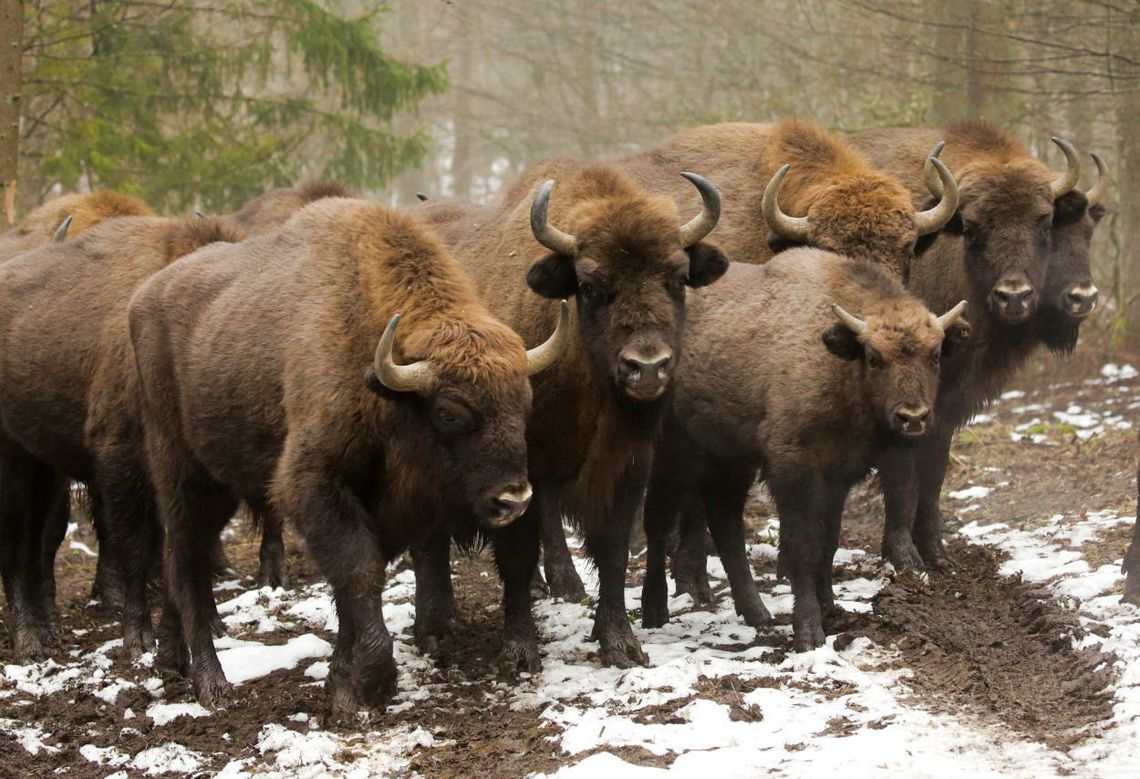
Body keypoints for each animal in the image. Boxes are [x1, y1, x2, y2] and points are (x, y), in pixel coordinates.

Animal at [129, 199, 570, 711]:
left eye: (525, 403)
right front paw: (374, 681)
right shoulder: (314, 486)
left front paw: (343, 683)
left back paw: (170, 663)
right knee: (185, 563)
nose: (514, 500)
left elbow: (352, 588)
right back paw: (211, 685)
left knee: (182, 562)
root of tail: (142, 298)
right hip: (181, 473)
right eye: (448, 413)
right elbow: (360, 573)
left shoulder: (379, 509)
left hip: (219, 485)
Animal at [410, 163, 725, 670]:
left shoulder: (626, 467)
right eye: (591, 285)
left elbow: (613, 549)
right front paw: (519, 649)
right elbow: (517, 554)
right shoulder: (519, 472)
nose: (647, 366)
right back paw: (435, 626)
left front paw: (619, 642)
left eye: (677, 278)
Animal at [642, 250, 971, 652]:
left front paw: (830, 606)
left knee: (726, 524)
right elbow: (802, 545)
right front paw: (809, 630)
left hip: (730, 460)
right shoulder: (793, 468)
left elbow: (828, 541)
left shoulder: (839, 475)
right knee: (658, 521)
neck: (839, 365)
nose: (913, 417)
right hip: (671, 455)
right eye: (874, 357)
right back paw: (655, 611)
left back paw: (758, 614)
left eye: (935, 355)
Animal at [848, 123, 1094, 572]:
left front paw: (937, 554)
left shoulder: (948, 406)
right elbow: (902, 478)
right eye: (974, 227)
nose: (1014, 297)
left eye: (1044, 223)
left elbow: (933, 475)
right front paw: (904, 559)